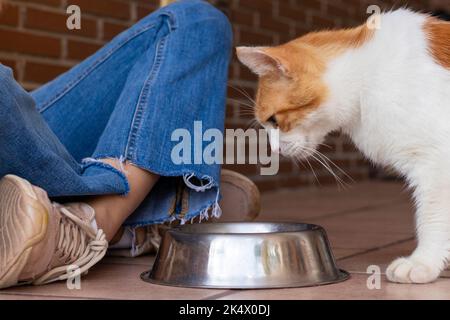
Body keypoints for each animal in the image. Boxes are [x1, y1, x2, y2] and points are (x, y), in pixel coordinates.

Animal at [237, 9, 448, 284]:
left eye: (273, 120)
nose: (274, 150)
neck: (369, 74)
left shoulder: (437, 162)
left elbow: (433, 217)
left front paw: (423, 262)